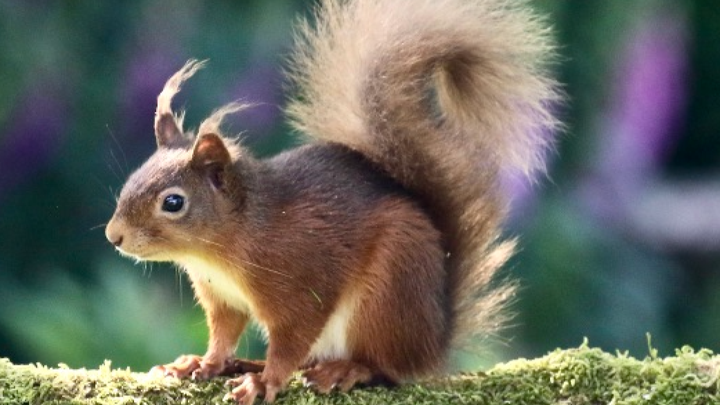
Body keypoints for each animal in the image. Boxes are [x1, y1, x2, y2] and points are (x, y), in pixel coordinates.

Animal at [105, 0, 559, 403]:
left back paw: (343, 370)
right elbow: (224, 334)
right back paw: (248, 364)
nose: (114, 236)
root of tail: (433, 341)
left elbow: (291, 339)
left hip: (386, 295)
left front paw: (265, 382)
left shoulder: (301, 278)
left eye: (173, 203)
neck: (225, 248)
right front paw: (205, 363)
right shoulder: (224, 300)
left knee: (384, 366)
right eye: (131, 181)